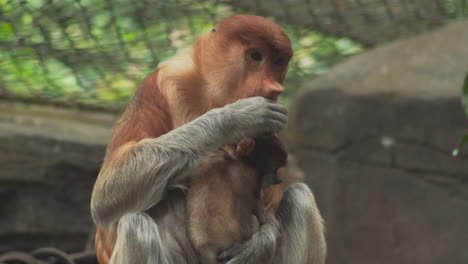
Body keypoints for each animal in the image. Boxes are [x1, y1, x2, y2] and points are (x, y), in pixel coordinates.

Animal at [91, 14, 326, 264]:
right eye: (255, 56)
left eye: (279, 62)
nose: (273, 88)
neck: (214, 94)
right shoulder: (156, 87)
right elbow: (105, 196)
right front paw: (238, 116)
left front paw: (261, 244)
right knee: (135, 223)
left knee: (300, 197)